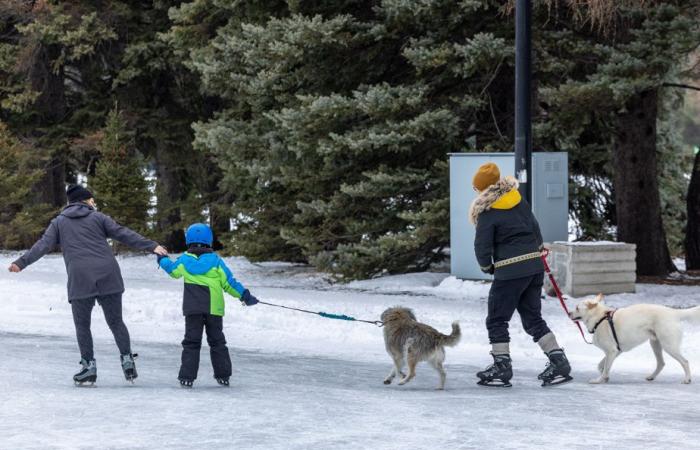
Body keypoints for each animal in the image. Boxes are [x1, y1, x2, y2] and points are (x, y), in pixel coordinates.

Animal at [568, 294, 700, 384]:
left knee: (685, 362)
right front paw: (605, 377)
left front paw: (599, 380)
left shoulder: (612, 351)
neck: (600, 318)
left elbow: (605, 367)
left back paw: (687, 379)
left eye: (577, 308)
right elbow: (602, 366)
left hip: (669, 346)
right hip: (655, 344)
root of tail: (673, 312)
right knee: (661, 363)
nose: (568, 313)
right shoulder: (616, 351)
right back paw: (651, 376)